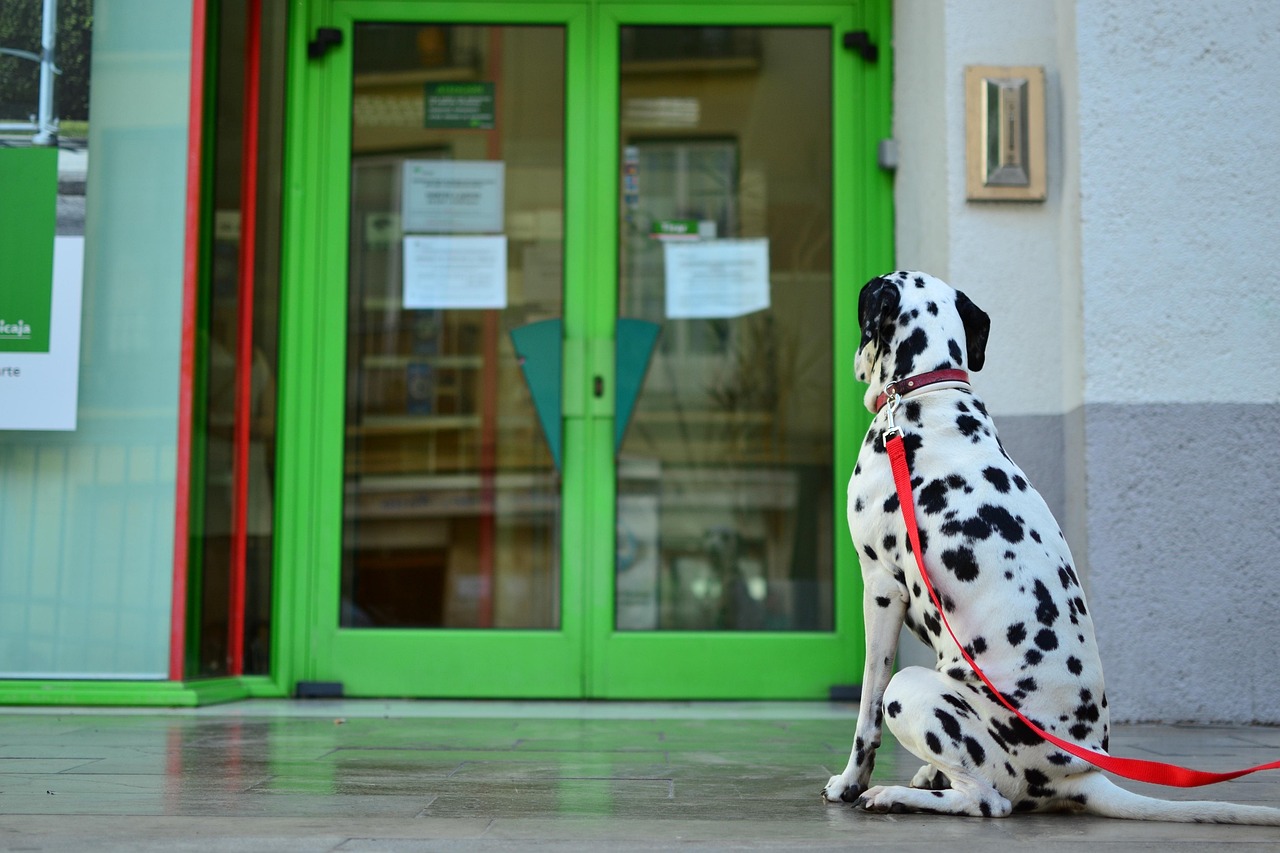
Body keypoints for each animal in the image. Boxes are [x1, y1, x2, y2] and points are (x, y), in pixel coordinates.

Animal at [819, 268, 1280, 819]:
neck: (926, 396)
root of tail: (1080, 774)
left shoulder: (882, 590)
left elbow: (865, 710)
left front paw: (849, 781)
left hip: (909, 688)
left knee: (987, 801)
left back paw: (896, 795)